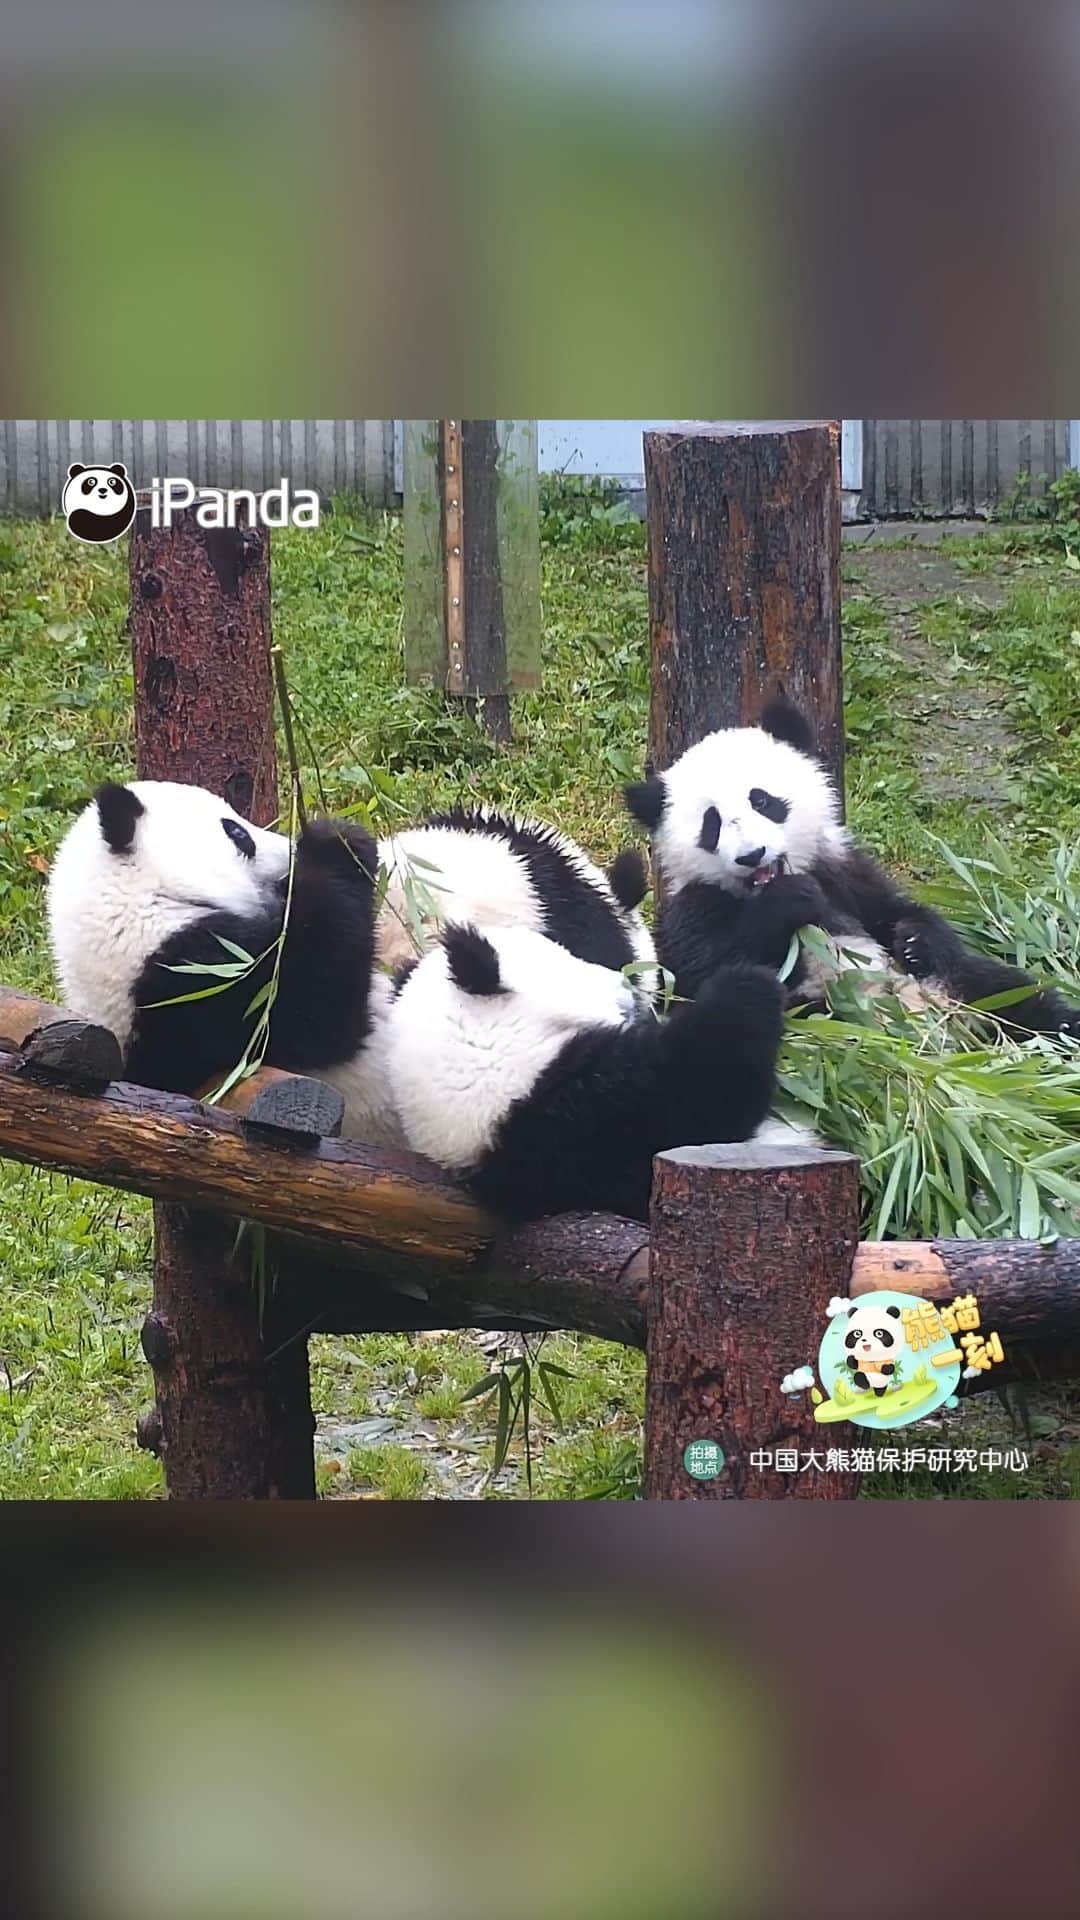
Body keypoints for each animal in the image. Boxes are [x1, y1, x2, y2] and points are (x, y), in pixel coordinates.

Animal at [624, 696, 1080, 1040]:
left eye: (762, 800)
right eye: (713, 824)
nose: (752, 855)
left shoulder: (842, 870)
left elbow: (895, 910)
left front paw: (913, 939)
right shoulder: (693, 905)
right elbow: (702, 972)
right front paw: (790, 902)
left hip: (965, 990)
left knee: (1021, 998)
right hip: (818, 1014)